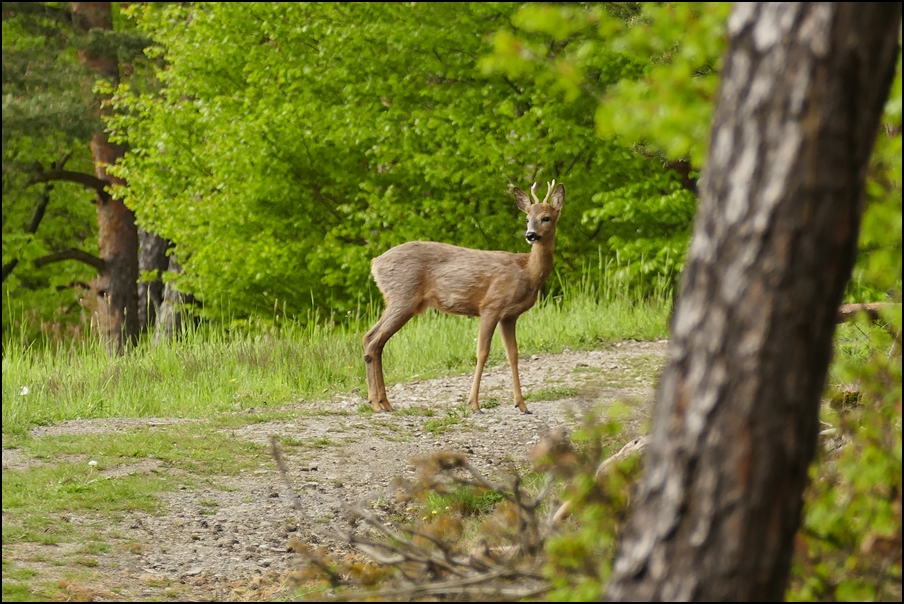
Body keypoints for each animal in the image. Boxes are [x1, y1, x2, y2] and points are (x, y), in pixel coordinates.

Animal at [362, 182, 564, 412]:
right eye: (527, 218)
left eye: (546, 217)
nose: (530, 235)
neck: (527, 272)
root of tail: (375, 263)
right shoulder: (491, 306)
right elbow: (482, 352)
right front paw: (474, 403)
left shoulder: (509, 315)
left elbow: (513, 354)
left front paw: (521, 405)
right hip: (402, 297)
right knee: (373, 339)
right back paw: (376, 403)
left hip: (401, 300)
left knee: (374, 339)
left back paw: (383, 402)